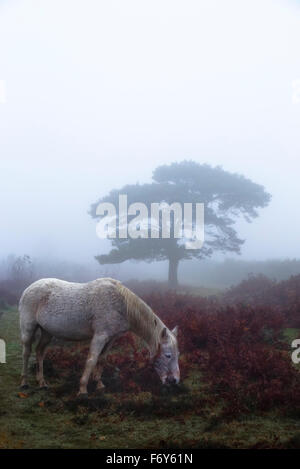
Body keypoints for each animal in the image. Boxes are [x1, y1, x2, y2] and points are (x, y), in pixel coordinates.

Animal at [19, 278, 180, 394]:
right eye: (168, 355)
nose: (175, 380)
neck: (122, 305)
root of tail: (29, 288)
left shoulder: (111, 338)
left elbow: (101, 359)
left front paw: (99, 384)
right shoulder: (100, 336)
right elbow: (92, 359)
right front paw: (83, 389)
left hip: (47, 332)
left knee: (40, 352)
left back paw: (42, 382)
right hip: (28, 329)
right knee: (26, 352)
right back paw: (24, 382)